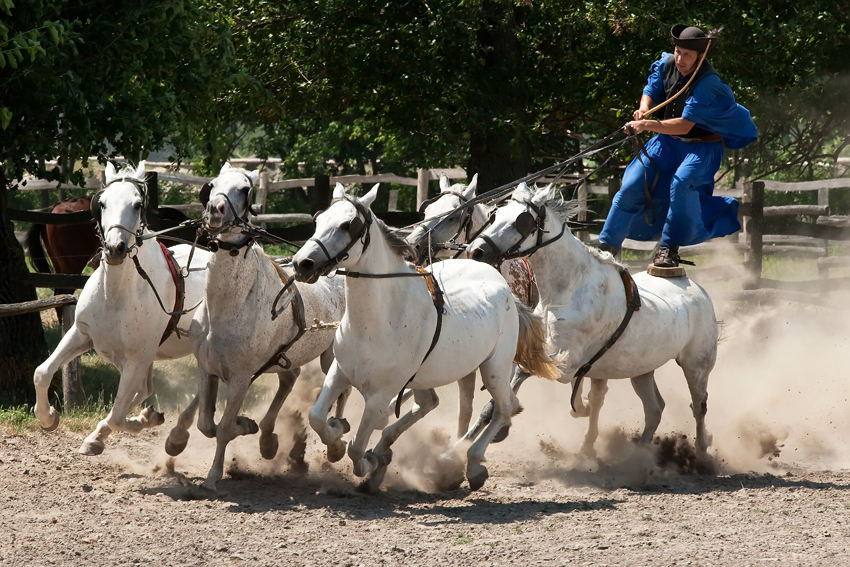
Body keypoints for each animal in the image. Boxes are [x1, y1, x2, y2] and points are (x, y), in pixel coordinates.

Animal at [33, 162, 209, 454]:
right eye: (102, 203)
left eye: (137, 205)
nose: (115, 248)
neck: (116, 295)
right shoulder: (81, 334)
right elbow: (42, 372)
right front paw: (48, 418)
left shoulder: (136, 360)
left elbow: (117, 415)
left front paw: (136, 423)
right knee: (145, 391)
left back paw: (175, 434)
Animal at [166, 162, 348, 490]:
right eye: (212, 185)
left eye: (244, 189)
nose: (215, 210)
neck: (228, 306)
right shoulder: (207, 368)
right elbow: (206, 423)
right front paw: (246, 425)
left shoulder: (240, 376)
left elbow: (224, 428)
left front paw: (214, 475)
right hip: (284, 357)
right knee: (290, 379)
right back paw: (267, 438)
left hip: (331, 357)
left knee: (342, 389)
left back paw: (336, 439)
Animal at [292, 183, 564, 492]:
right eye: (318, 220)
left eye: (347, 225)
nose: (302, 264)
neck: (379, 318)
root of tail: (501, 283)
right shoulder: (340, 370)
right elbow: (316, 418)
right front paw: (337, 438)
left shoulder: (381, 394)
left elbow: (357, 448)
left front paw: (368, 462)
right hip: (434, 374)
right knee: (432, 404)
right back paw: (389, 449)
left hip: (494, 369)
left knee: (505, 408)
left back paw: (470, 464)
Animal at [464, 184, 716, 460]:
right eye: (495, 216)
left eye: (521, 221)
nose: (475, 251)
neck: (568, 288)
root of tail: (696, 288)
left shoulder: (565, 363)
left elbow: (529, 374)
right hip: (641, 370)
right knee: (655, 409)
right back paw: (637, 455)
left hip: (697, 366)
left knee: (699, 406)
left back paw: (701, 449)